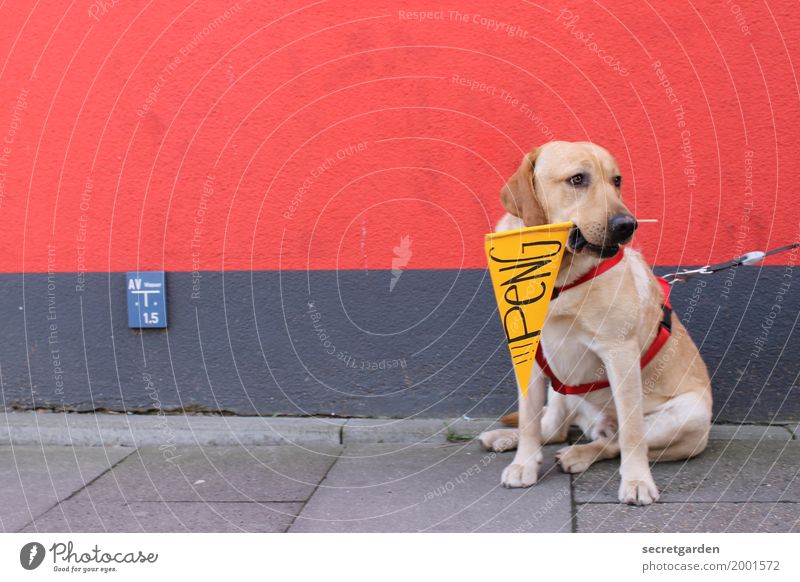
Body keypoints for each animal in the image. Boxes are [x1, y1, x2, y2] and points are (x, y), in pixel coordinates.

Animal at [482, 141, 712, 506]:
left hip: (688, 415)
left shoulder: (621, 355)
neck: (560, 276)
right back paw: (507, 438)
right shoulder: (527, 354)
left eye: (617, 181)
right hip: (561, 389)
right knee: (554, 429)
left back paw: (579, 454)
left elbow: (632, 435)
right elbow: (530, 420)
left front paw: (637, 482)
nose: (627, 225)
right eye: (578, 179)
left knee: (614, 442)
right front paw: (524, 464)